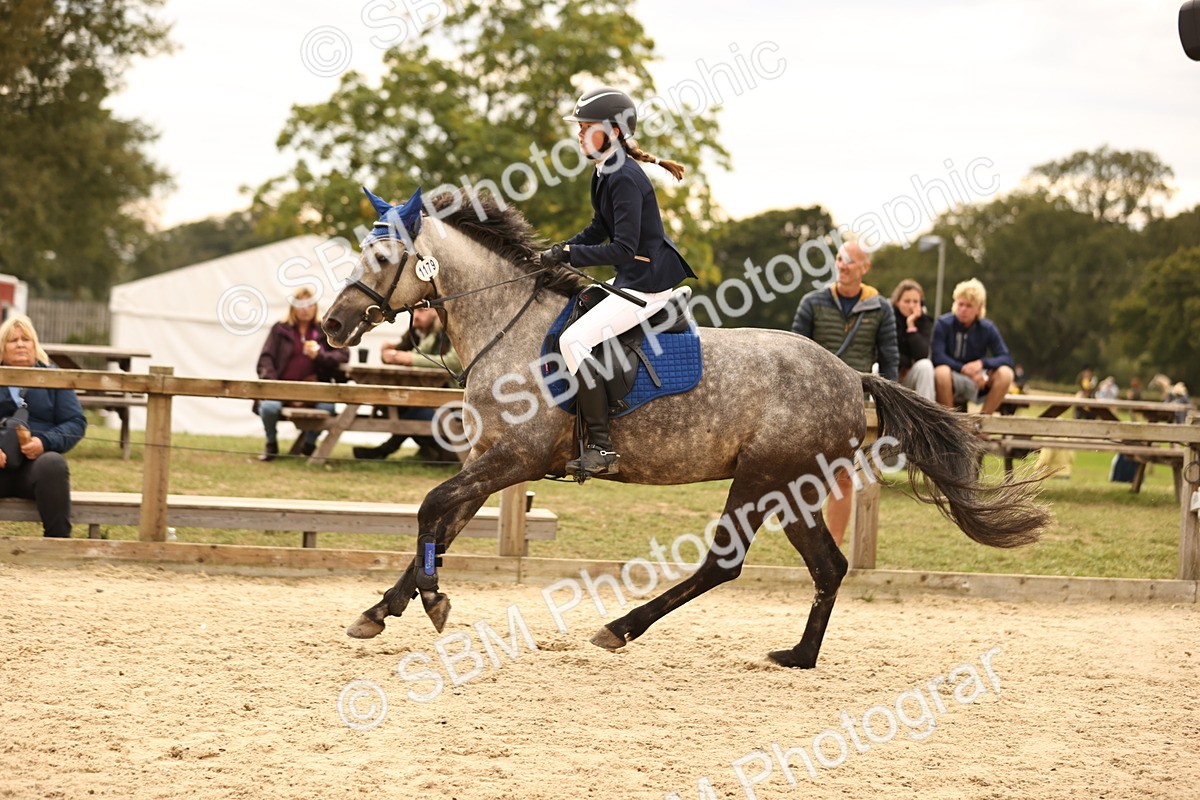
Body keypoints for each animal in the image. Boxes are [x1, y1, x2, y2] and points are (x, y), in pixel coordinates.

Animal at [321, 189, 1050, 669]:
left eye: (382, 256)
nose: (332, 324)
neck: (509, 325)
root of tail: (850, 376)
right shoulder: (487, 458)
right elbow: (441, 524)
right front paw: (383, 610)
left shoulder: (514, 459)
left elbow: (430, 507)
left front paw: (428, 604)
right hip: (794, 489)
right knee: (828, 566)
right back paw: (798, 655)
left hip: (761, 479)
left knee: (725, 563)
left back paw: (620, 628)